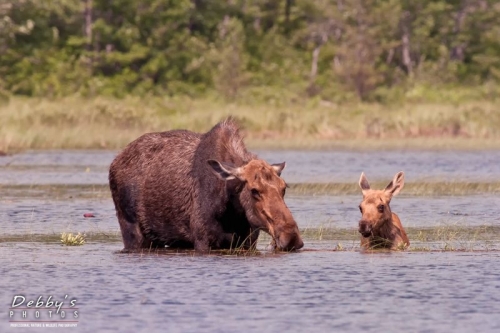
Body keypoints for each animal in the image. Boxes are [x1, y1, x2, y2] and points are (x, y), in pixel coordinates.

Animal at [109, 118, 302, 250]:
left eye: (284, 188)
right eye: (254, 190)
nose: (291, 237)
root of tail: (114, 163)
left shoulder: (248, 241)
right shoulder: (203, 241)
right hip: (132, 231)